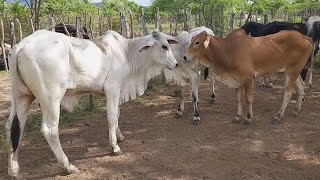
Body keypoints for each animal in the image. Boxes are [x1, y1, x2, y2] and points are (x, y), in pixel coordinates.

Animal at [6, 29, 179, 177]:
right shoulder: (113, 88)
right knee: (49, 130)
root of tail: (23, 44)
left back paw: (13, 169)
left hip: (21, 96)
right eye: (164, 46)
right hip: (51, 99)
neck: (127, 52)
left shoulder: (117, 90)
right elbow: (112, 117)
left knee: (13, 128)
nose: (176, 64)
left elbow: (117, 114)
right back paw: (68, 166)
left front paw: (120, 136)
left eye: (168, 44)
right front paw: (115, 147)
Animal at [186, 29, 314, 125]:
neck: (228, 50)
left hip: (293, 71)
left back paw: (278, 116)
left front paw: (248, 118)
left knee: (288, 93)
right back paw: (296, 111)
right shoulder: (236, 79)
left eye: (197, 42)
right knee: (301, 87)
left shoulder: (248, 78)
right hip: (293, 71)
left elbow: (248, 98)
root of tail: (305, 37)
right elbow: (238, 98)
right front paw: (238, 116)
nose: (185, 56)